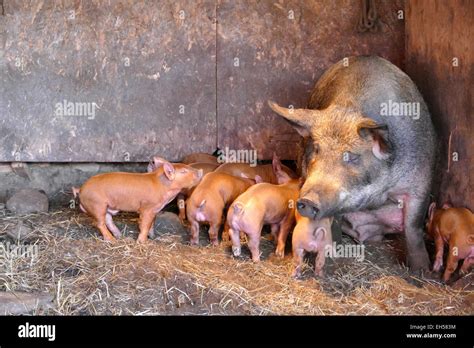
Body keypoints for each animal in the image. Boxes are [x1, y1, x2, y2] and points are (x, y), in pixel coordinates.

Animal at [268, 55, 436, 272]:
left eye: (352, 156)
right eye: (316, 148)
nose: (308, 200)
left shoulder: (421, 181)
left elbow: (413, 227)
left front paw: (422, 271)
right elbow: (334, 225)